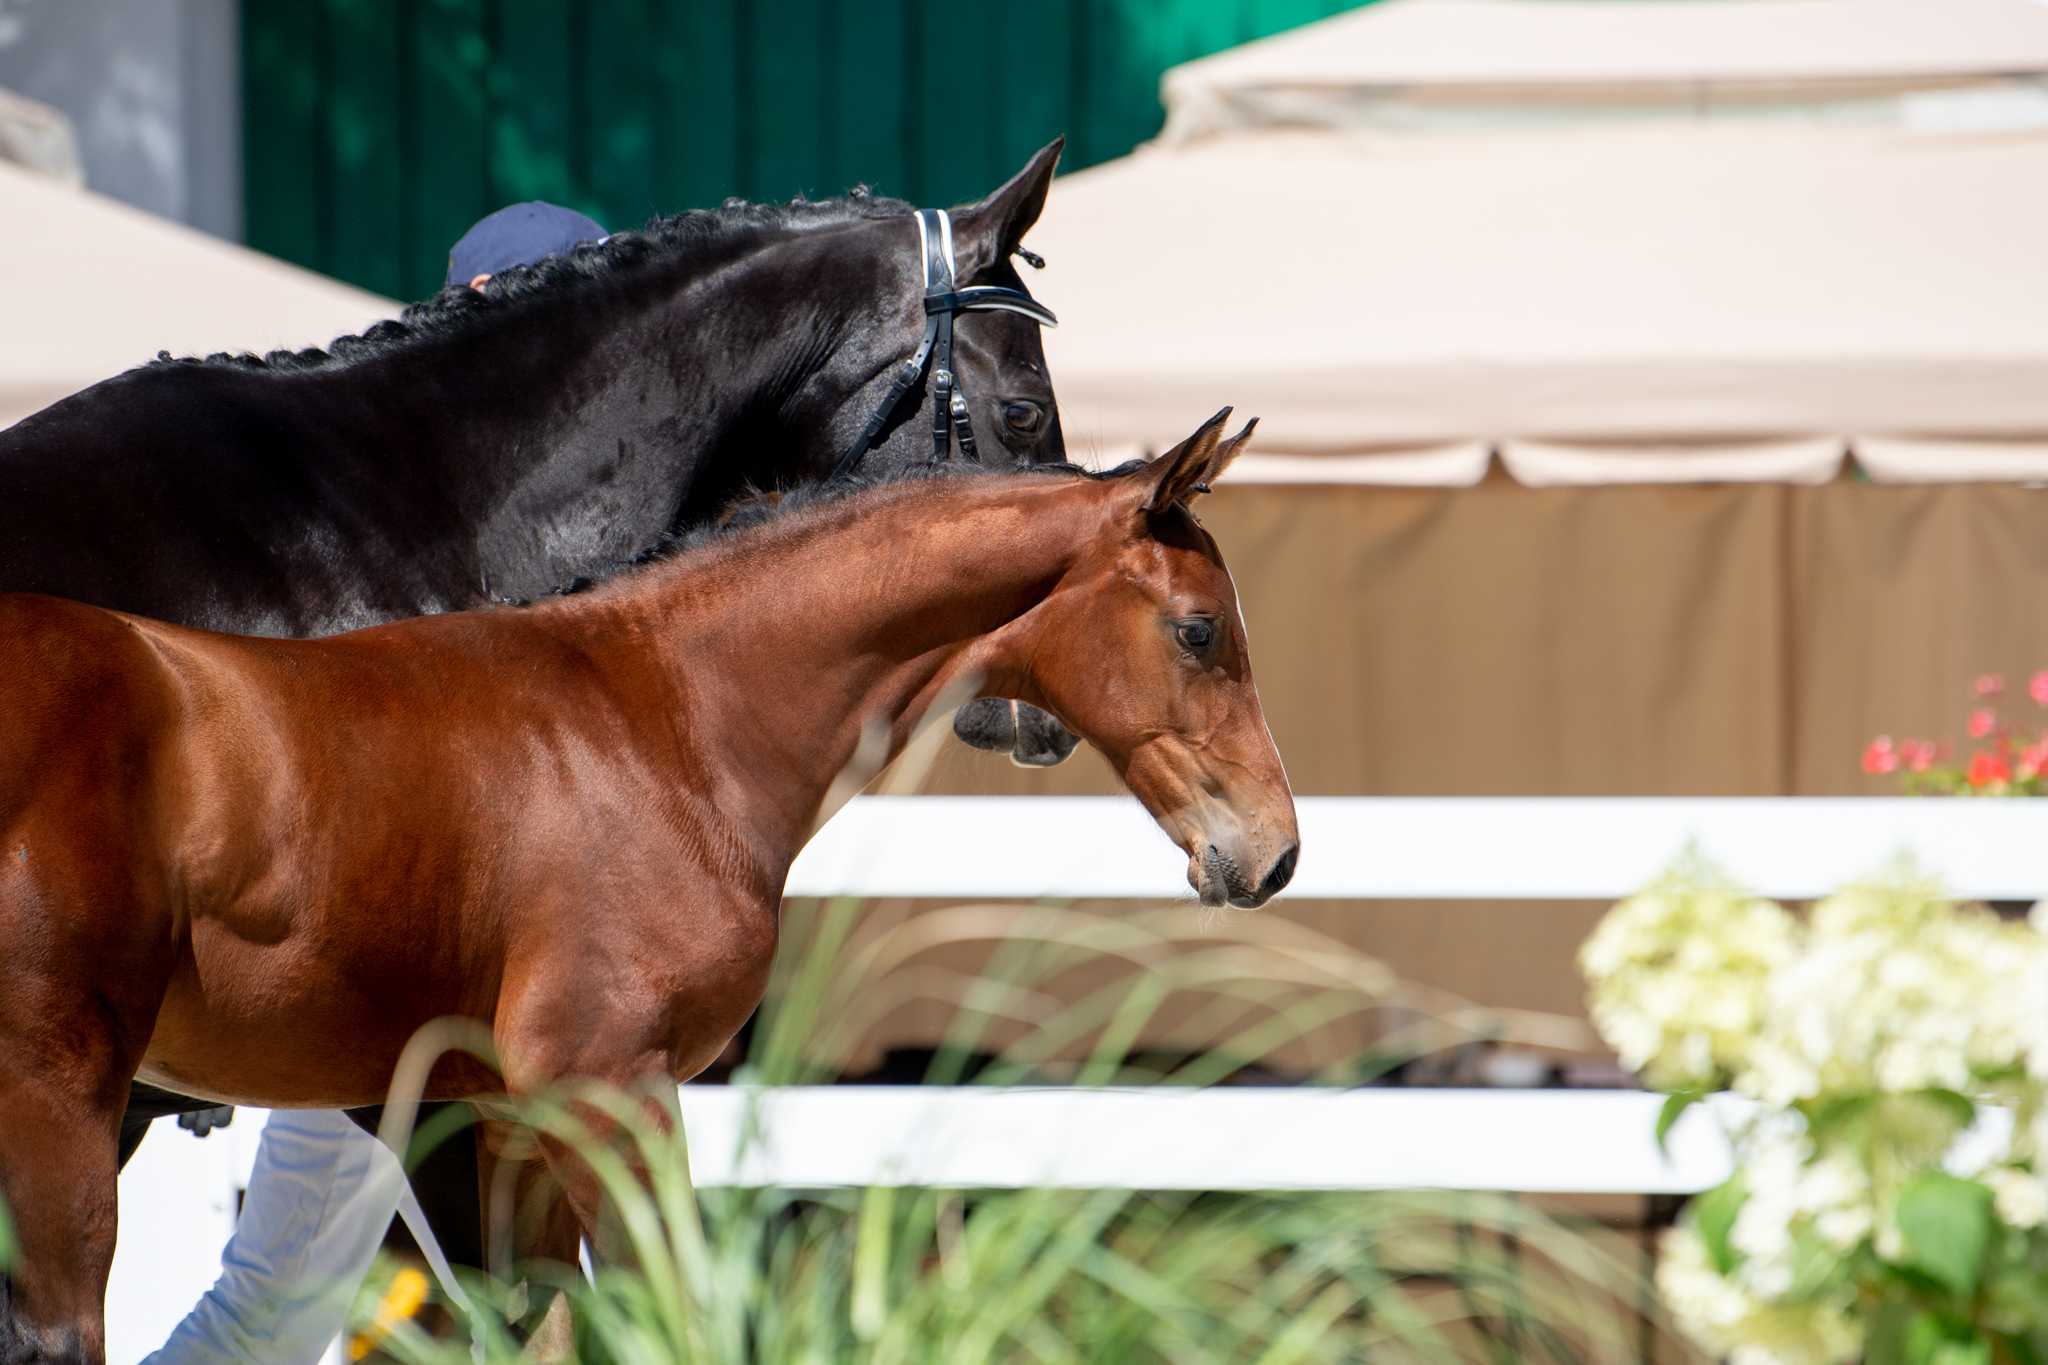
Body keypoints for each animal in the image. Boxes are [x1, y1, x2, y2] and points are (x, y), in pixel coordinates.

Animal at [0, 408, 1297, 1363]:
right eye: (1196, 631)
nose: (1273, 852)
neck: (663, 716)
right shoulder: (605, 1084)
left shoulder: (501, 1120)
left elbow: (535, 1331)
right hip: (62, 1102)